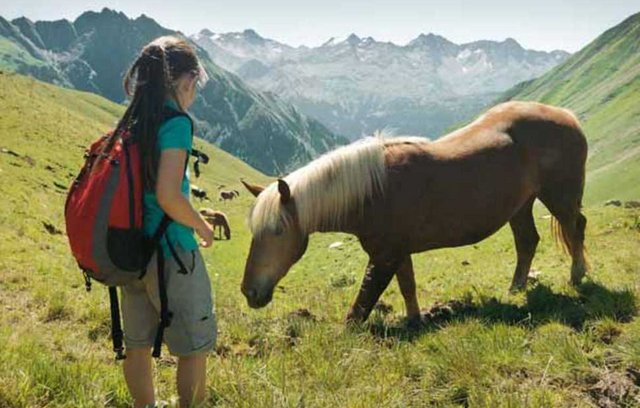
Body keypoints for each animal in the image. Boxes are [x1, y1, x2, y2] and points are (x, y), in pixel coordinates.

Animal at [241, 102, 592, 326]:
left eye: (277, 231)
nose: (250, 292)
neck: (372, 191)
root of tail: (568, 116)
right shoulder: (397, 252)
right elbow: (407, 285)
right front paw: (414, 320)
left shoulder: (384, 257)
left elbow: (361, 305)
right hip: (520, 205)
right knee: (527, 241)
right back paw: (516, 289)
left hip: (558, 196)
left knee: (574, 227)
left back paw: (577, 275)